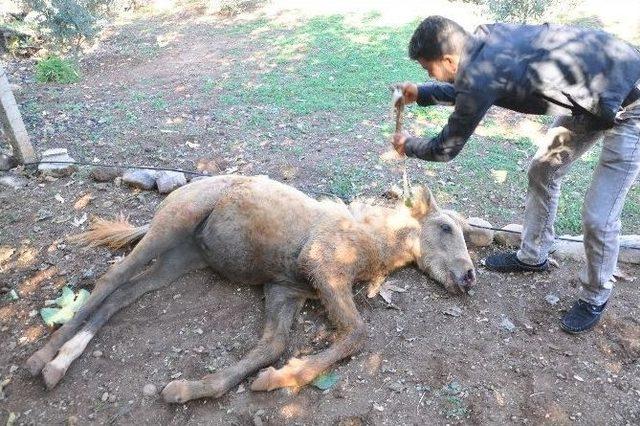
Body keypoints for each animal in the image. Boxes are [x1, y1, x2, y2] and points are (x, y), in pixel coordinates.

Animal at [27, 174, 478, 402]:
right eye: (445, 227)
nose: (470, 277)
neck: (368, 240)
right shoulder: (323, 268)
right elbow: (356, 334)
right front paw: (287, 377)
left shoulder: (285, 293)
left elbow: (270, 346)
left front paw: (193, 390)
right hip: (168, 227)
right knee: (112, 279)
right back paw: (42, 358)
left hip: (176, 263)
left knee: (123, 294)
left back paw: (59, 363)